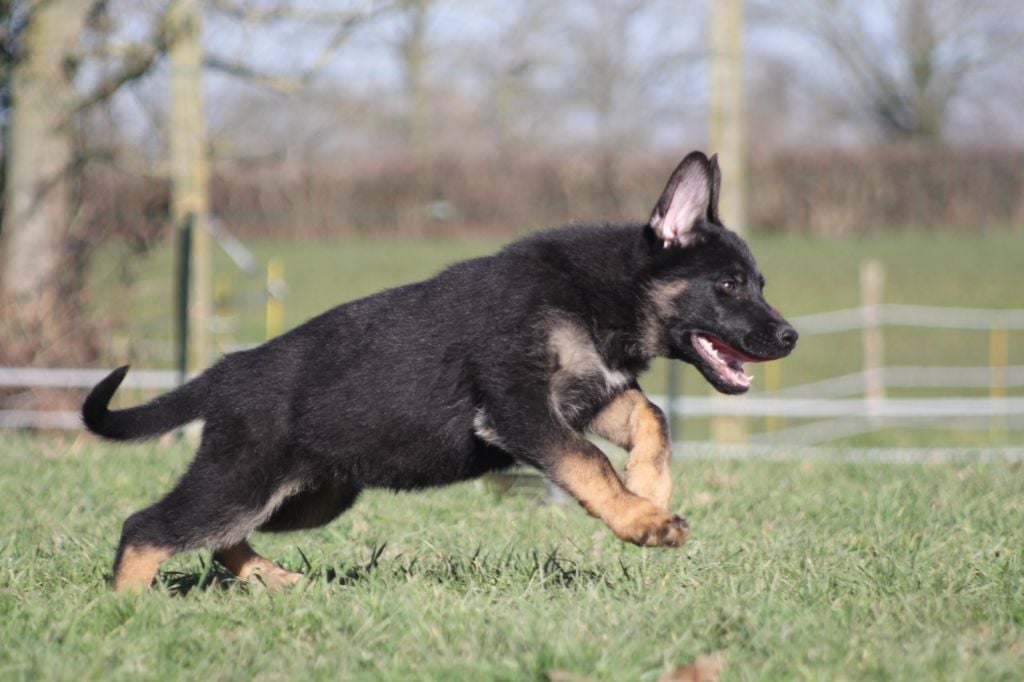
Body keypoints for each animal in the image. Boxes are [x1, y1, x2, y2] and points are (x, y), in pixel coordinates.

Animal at [83, 150, 794, 589]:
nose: (789, 337)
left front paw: (649, 491)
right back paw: (131, 611)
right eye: (729, 285)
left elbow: (652, 416)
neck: (600, 293)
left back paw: (271, 579)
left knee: (220, 537)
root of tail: (226, 372)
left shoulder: (587, 393)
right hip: (240, 481)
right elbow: (589, 463)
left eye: (759, 283)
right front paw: (642, 521)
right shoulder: (519, 408)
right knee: (147, 528)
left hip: (310, 497)